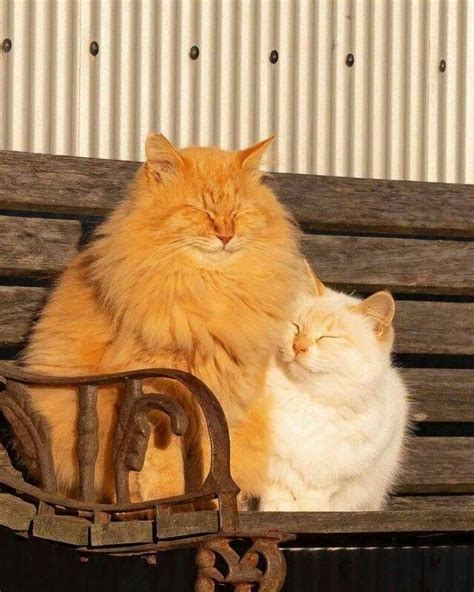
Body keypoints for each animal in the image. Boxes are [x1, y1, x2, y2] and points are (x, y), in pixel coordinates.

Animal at [20, 135, 302, 504]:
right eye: (199, 211)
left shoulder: (218, 396)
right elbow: (165, 466)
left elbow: (213, 457)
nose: (226, 235)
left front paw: (209, 501)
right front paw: (171, 502)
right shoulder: (160, 393)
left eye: (238, 213)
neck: (209, 289)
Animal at [232, 266, 408, 512]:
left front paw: (312, 511)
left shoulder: (338, 468)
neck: (307, 399)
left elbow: (315, 493)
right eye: (296, 327)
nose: (298, 346)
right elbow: (277, 487)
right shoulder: (270, 459)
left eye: (327, 337)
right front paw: (277, 508)